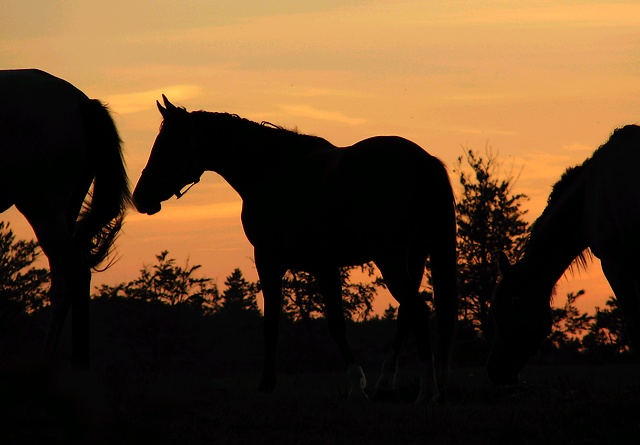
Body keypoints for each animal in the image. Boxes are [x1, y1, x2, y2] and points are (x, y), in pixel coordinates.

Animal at [132, 95, 458, 400]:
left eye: (169, 145)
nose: (140, 198)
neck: (271, 170)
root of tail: (422, 163)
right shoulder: (326, 266)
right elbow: (335, 324)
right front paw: (357, 385)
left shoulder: (270, 260)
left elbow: (275, 323)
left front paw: (269, 384)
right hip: (414, 257)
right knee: (407, 315)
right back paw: (387, 383)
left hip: (390, 257)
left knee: (417, 310)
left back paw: (427, 391)